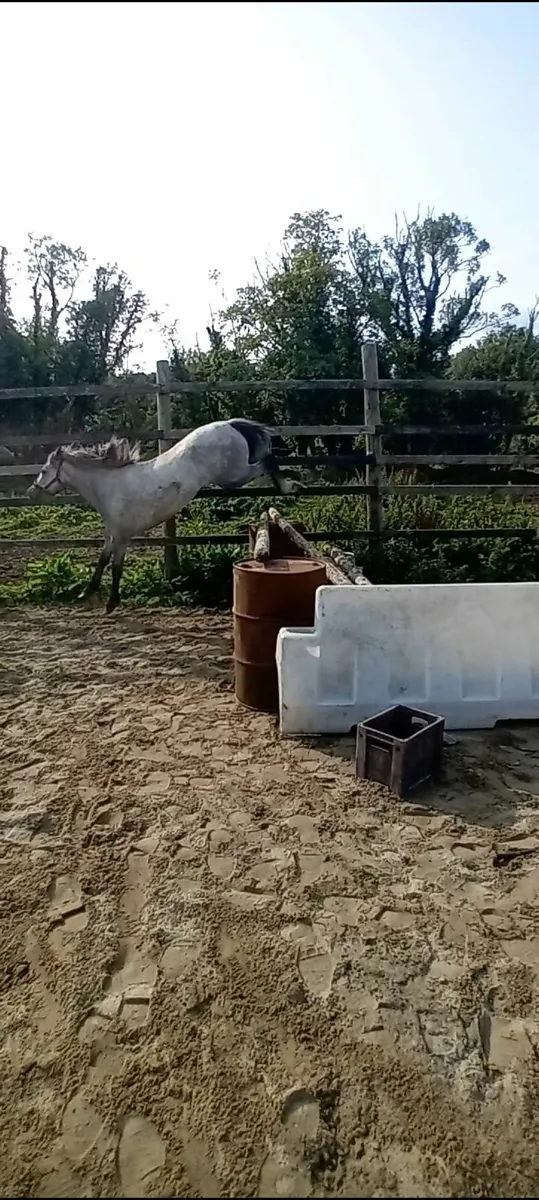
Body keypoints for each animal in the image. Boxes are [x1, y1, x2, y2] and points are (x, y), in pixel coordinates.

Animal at [27, 418, 301, 614]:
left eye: (44, 470)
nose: (31, 493)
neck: (110, 486)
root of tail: (230, 424)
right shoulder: (112, 533)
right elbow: (102, 561)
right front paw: (86, 593)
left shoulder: (123, 536)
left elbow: (116, 567)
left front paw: (111, 603)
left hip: (235, 474)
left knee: (266, 462)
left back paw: (289, 485)